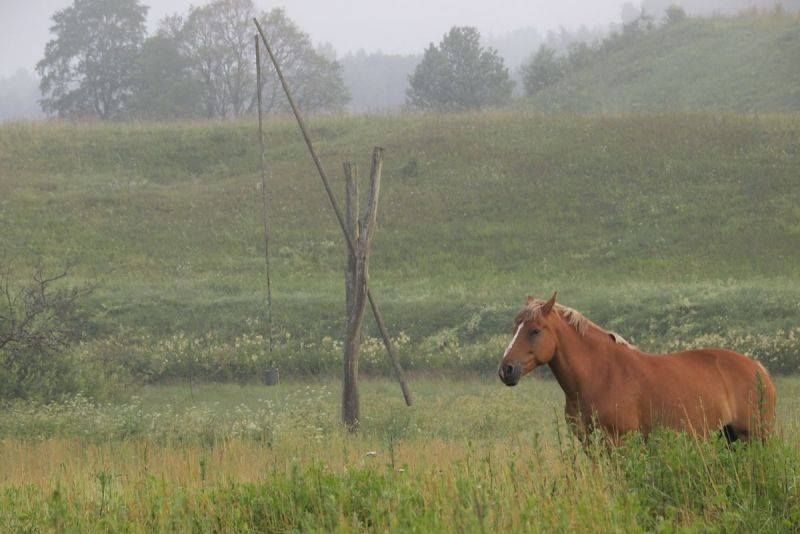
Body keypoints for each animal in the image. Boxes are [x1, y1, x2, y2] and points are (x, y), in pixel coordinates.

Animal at [500, 294, 776, 444]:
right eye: (514, 328)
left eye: (535, 330)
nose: (506, 369)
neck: (601, 376)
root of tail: (759, 368)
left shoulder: (618, 442)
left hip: (755, 436)